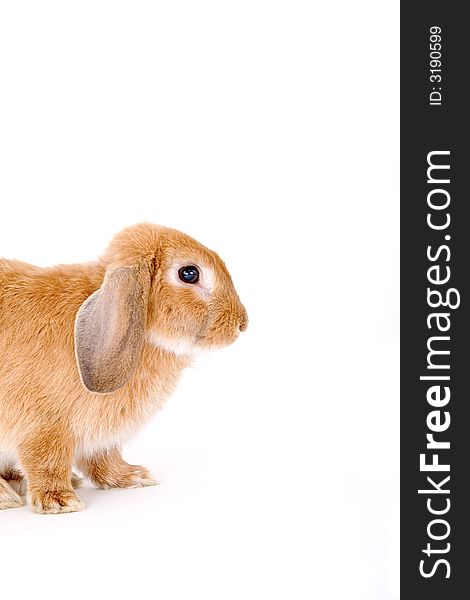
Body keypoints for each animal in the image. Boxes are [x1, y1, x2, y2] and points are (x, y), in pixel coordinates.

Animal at [0, 223, 248, 512]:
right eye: (189, 273)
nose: (242, 323)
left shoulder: (100, 438)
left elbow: (103, 458)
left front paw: (132, 476)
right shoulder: (43, 427)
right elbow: (45, 462)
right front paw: (60, 501)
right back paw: (7, 495)